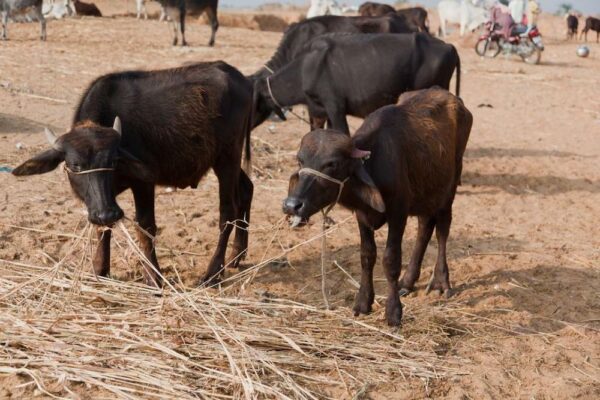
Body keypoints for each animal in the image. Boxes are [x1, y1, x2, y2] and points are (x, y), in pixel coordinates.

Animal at [13, 61, 253, 288]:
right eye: (76, 165)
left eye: (112, 161)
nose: (108, 213)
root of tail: (237, 77)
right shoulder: (101, 201)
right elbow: (102, 230)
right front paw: (100, 269)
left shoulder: (143, 184)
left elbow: (145, 227)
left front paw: (153, 277)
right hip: (226, 161)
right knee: (246, 189)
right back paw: (237, 256)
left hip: (228, 158)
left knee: (227, 210)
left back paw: (212, 273)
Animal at [282, 87, 474, 324]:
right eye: (301, 161)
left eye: (332, 164)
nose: (293, 205)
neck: (375, 164)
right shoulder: (362, 215)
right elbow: (367, 256)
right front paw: (363, 302)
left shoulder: (398, 213)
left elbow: (390, 260)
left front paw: (393, 312)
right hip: (426, 192)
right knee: (424, 228)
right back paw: (407, 282)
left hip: (449, 187)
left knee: (442, 231)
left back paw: (440, 281)